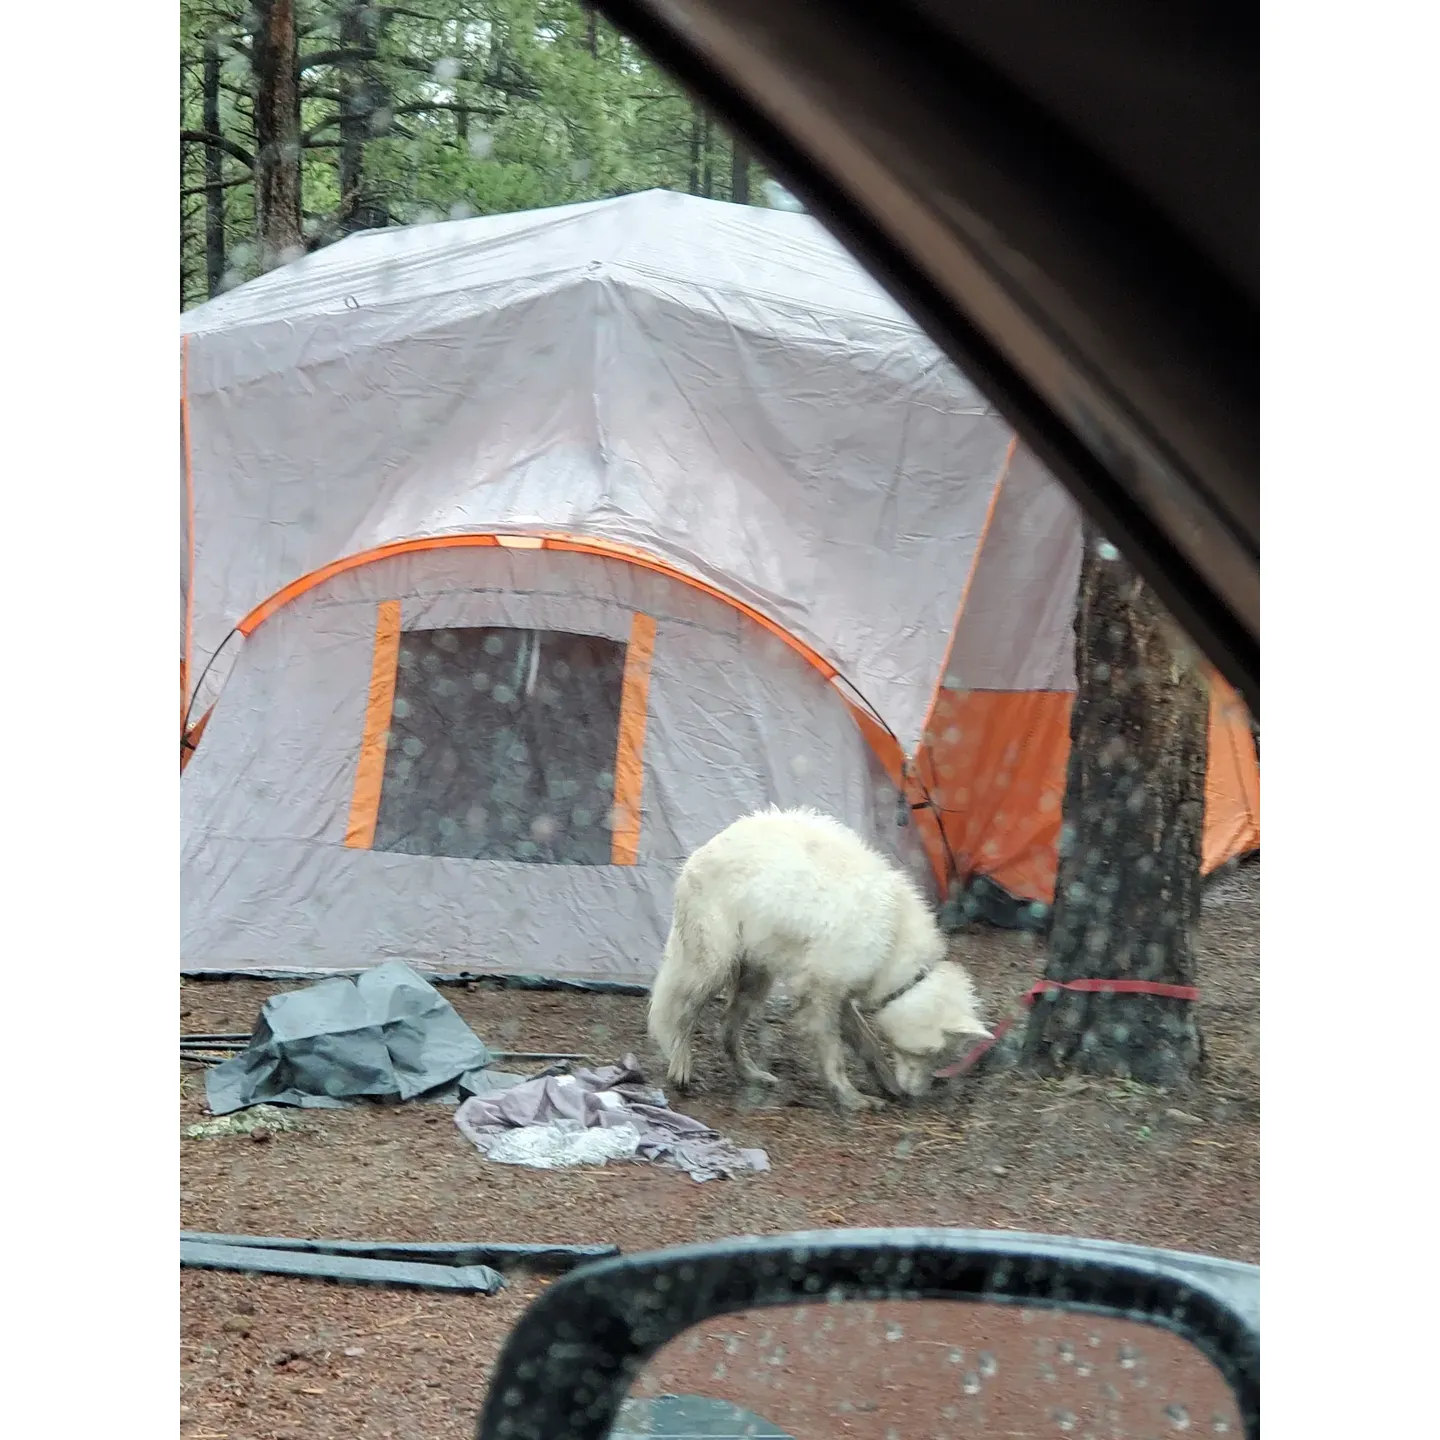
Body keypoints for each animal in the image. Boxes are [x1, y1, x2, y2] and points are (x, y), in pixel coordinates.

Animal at [650, 812, 990, 1111]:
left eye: (940, 1057)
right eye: (931, 1053)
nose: (915, 1096)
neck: (895, 941)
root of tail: (701, 851)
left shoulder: (842, 997)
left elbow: (869, 1046)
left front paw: (888, 1085)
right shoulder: (821, 995)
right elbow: (834, 1056)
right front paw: (851, 1098)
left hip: (755, 978)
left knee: (726, 1030)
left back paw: (752, 1074)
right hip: (711, 968)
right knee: (681, 1015)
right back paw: (680, 1066)